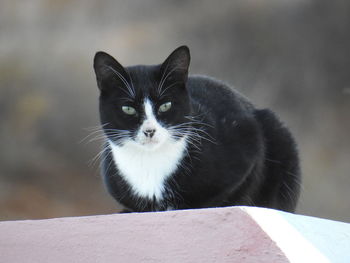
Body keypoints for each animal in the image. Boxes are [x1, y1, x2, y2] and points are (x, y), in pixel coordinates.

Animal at [93, 46, 300, 213]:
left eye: (166, 105)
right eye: (128, 109)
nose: (150, 130)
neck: (150, 163)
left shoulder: (247, 146)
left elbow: (230, 193)